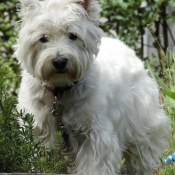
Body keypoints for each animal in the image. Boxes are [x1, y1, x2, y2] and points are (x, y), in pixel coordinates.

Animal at [15, 0, 170, 174]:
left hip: (141, 122)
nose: (59, 61)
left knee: (141, 154)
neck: (59, 91)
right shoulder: (39, 129)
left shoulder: (95, 134)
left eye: (73, 35)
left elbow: (94, 164)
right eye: (43, 38)